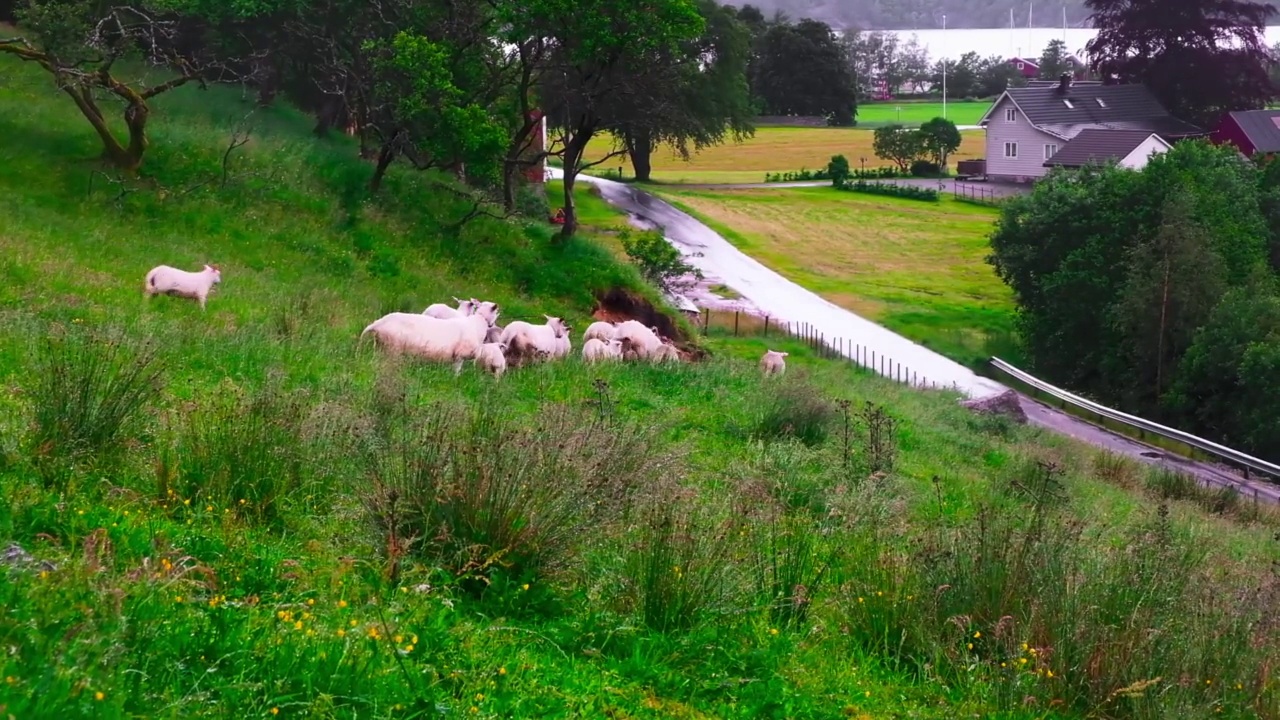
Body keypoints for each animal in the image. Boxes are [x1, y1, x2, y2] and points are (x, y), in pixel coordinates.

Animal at [366, 311, 494, 371]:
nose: (491, 324)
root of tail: (378, 323)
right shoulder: (460, 355)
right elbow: (457, 371)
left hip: (380, 347)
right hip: (392, 350)